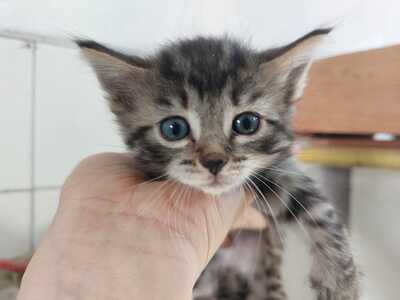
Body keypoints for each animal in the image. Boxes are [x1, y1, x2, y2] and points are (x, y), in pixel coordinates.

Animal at [78, 30, 360, 300]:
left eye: (247, 123)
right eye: (173, 129)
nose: (214, 162)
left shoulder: (278, 172)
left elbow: (321, 211)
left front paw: (341, 282)